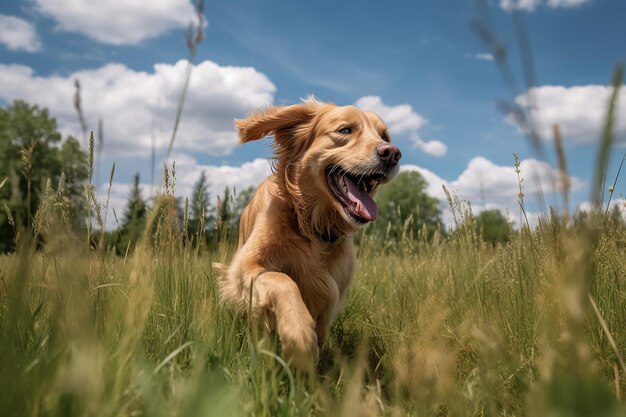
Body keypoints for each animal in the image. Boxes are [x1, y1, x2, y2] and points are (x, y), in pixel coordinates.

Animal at [216, 98, 400, 370]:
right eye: (345, 130)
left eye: (384, 136)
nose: (392, 153)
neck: (312, 226)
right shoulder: (244, 267)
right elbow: (283, 280)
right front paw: (298, 334)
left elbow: (322, 321)